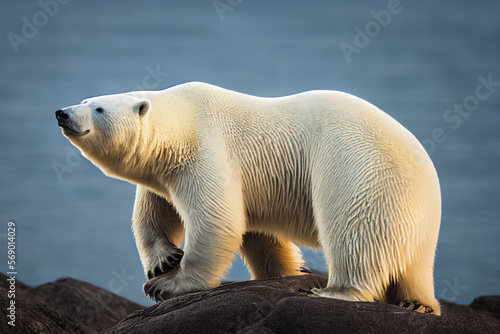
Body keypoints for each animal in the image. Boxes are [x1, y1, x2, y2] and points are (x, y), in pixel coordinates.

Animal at [55, 81, 442, 314]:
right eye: (85, 99)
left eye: (99, 108)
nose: (62, 112)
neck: (185, 120)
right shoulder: (167, 173)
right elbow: (156, 214)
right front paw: (163, 262)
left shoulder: (206, 151)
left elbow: (217, 221)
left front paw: (167, 286)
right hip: (416, 213)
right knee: (413, 261)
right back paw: (416, 304)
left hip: (358, 168)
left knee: (354, 232)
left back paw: (334, 291)